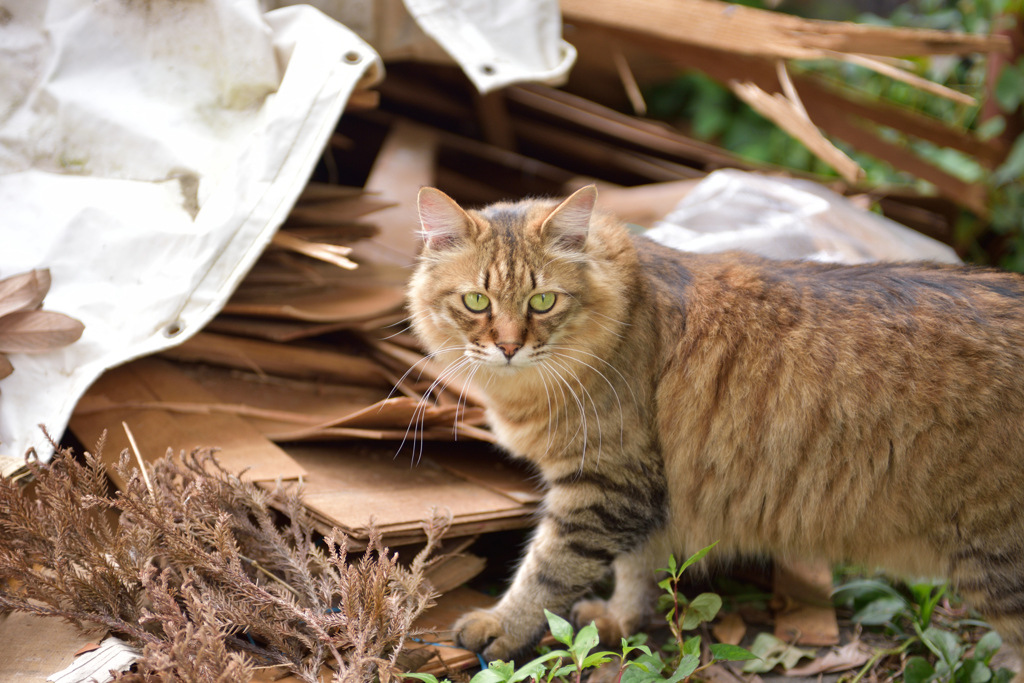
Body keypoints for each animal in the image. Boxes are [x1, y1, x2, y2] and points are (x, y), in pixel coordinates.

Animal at [403, 183, 1024, 671]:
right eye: (476, 300)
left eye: (542, 301)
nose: (508, 346)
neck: (626, 312)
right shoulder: (647, 492)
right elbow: (636, 570)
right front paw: (620, 623)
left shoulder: (606, 483)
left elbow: (548, 569)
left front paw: (502, 627)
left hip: (999, 564)